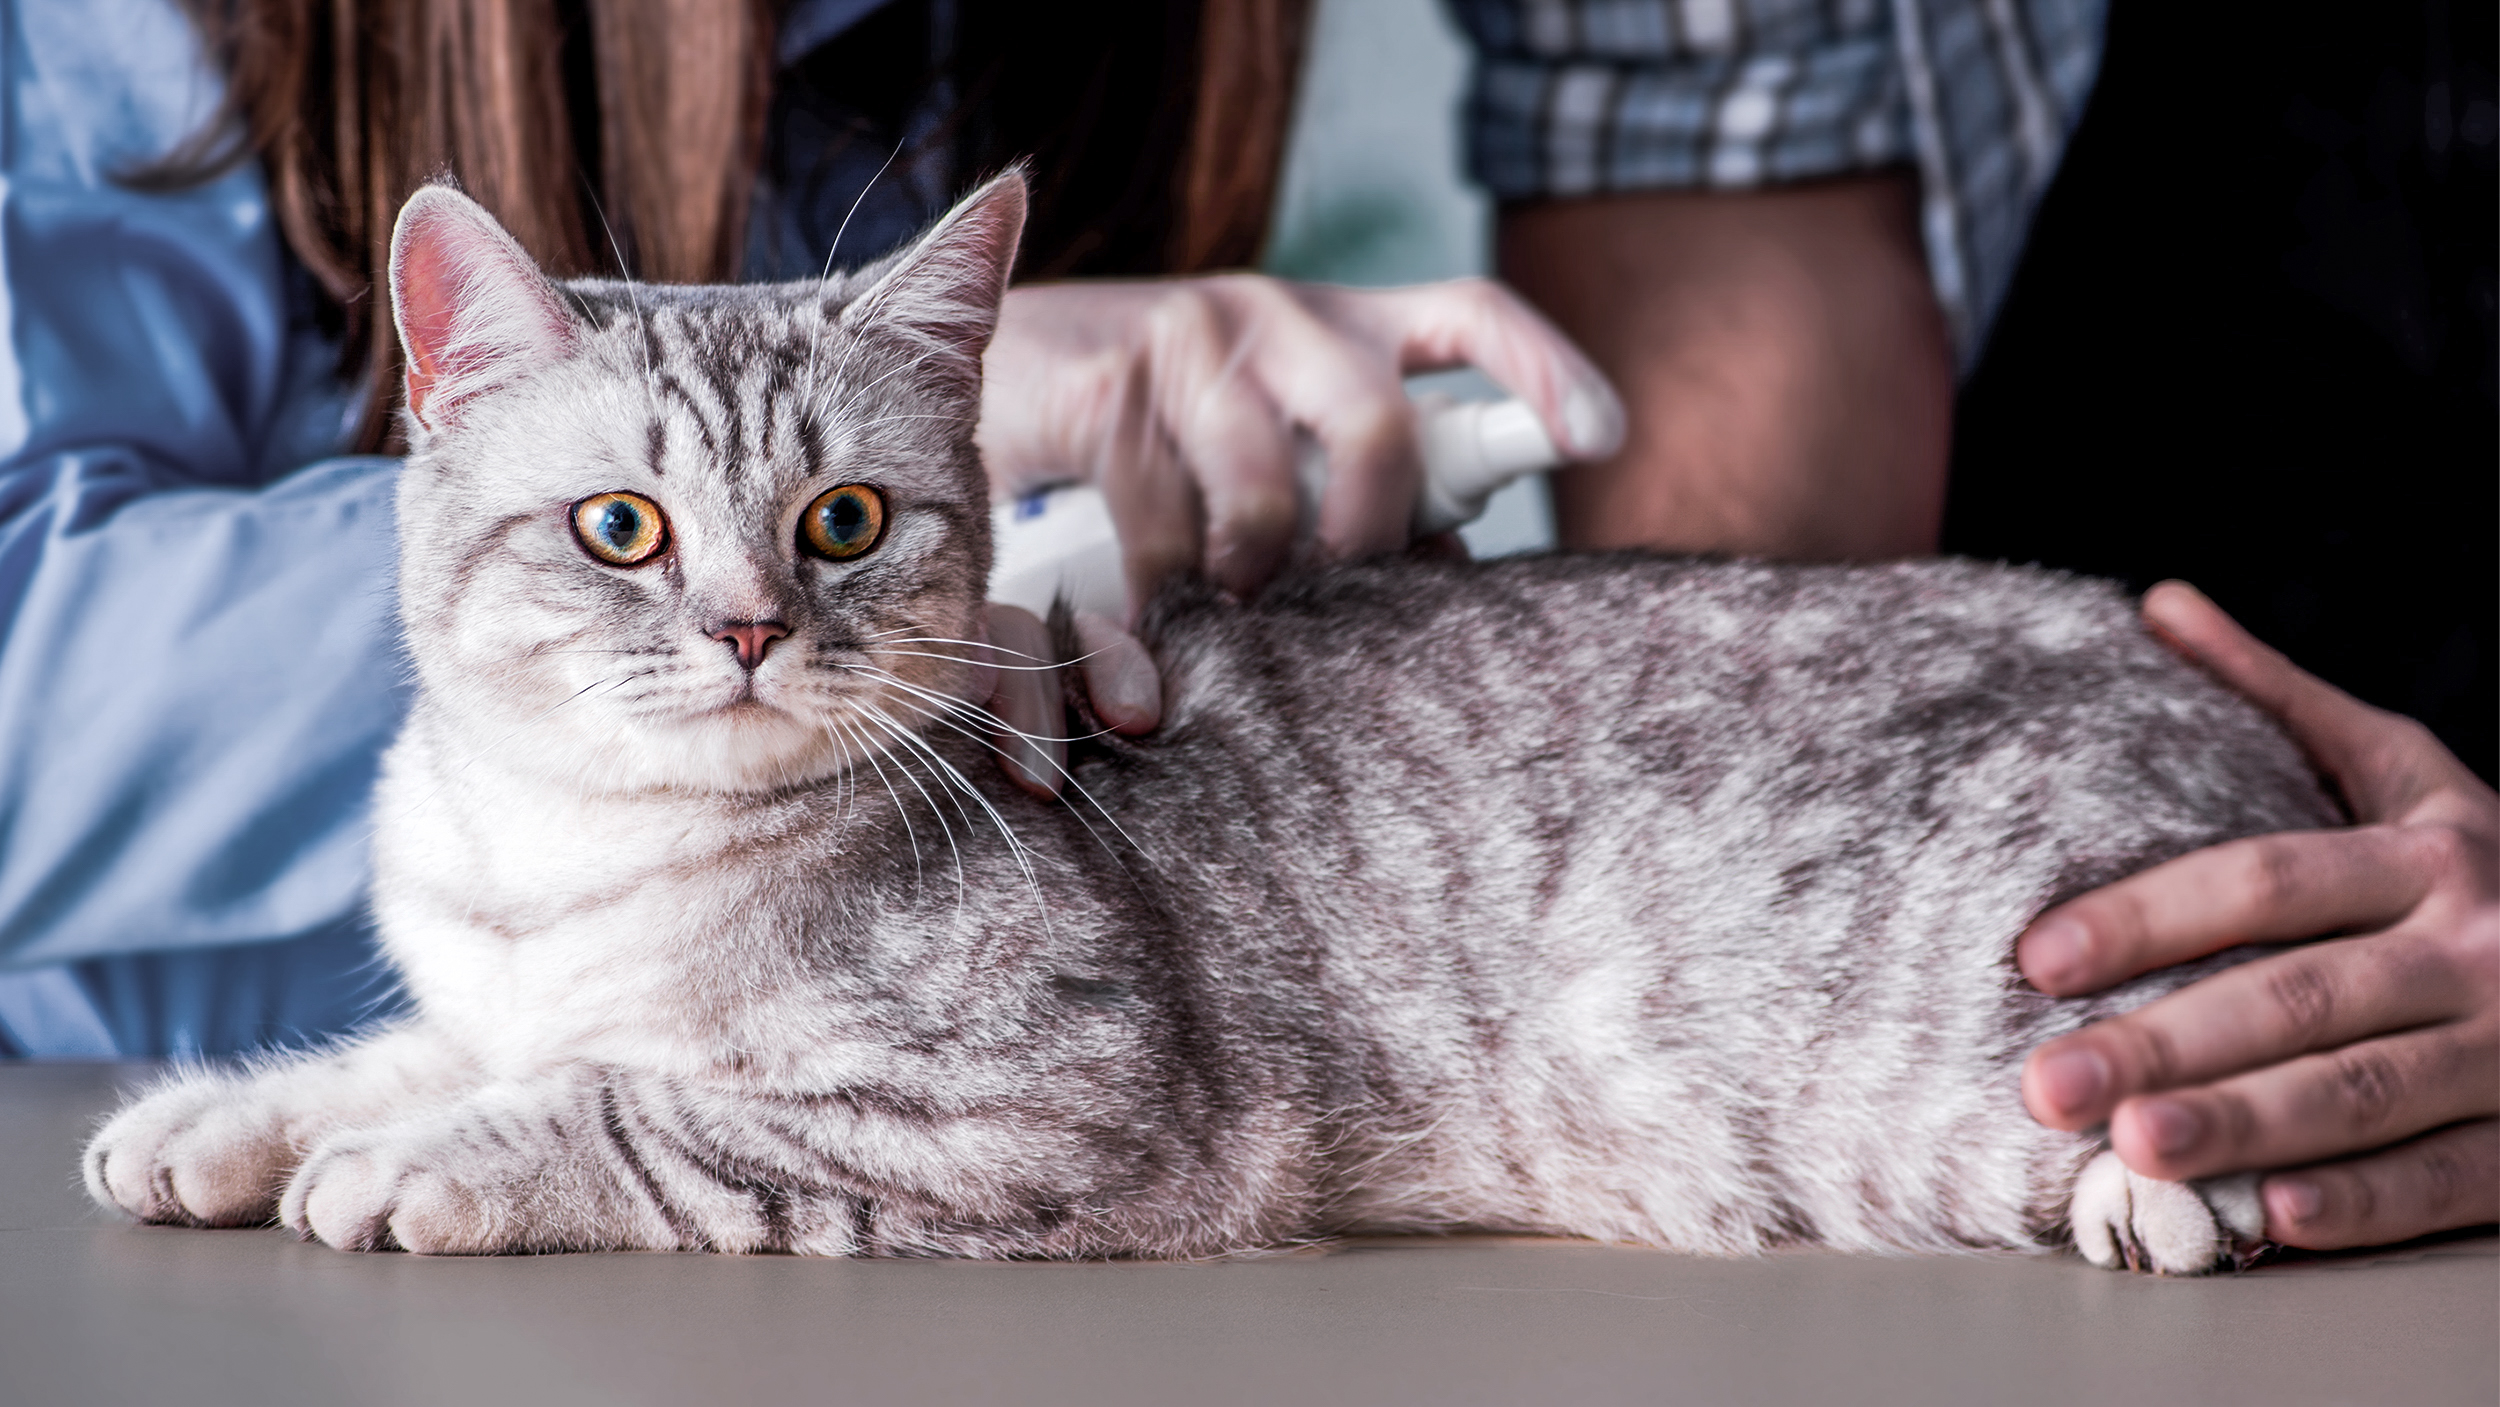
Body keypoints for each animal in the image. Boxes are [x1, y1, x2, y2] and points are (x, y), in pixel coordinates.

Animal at [83, 171, 2340, 1269]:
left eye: (841, 521)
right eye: (621, 528)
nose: (742, 629)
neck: (565, 860)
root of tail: (2224, 709)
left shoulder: (1045, 1108)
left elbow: (625, 1106)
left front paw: (412, 1158)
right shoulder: (489, 973)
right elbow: (431, 1036)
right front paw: (231, 1111)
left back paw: (2161, 1197)